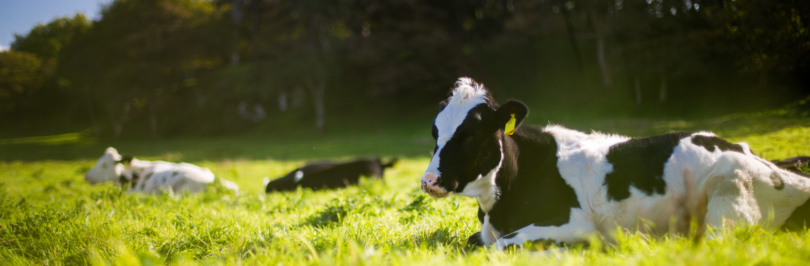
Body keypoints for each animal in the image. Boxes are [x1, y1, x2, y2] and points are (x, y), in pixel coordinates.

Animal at [420, 77, 808, 249]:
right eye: (435, 131)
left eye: (471, 134)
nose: (428, 181)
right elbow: (476, 242)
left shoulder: (573, 221)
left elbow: (502, 246)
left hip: (728, 199)